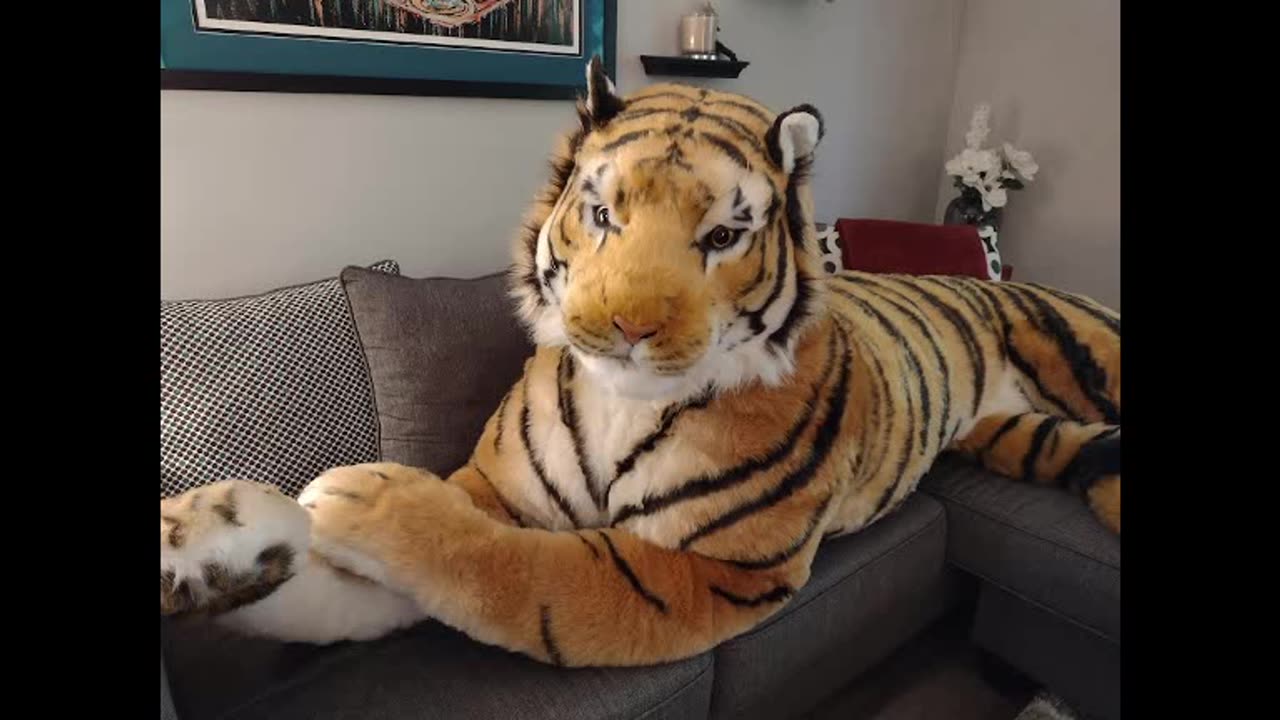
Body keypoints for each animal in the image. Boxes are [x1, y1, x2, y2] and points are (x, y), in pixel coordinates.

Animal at [159, 58, 1120, 667]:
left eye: (725, 235)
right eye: (602, 212)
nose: (627, 325)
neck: (622, 400)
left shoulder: (709, 573)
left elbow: (519, 569)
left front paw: (368, 494)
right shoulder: (496, 492)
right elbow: (330, 589)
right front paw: (215, 535)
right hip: (1032, 438)